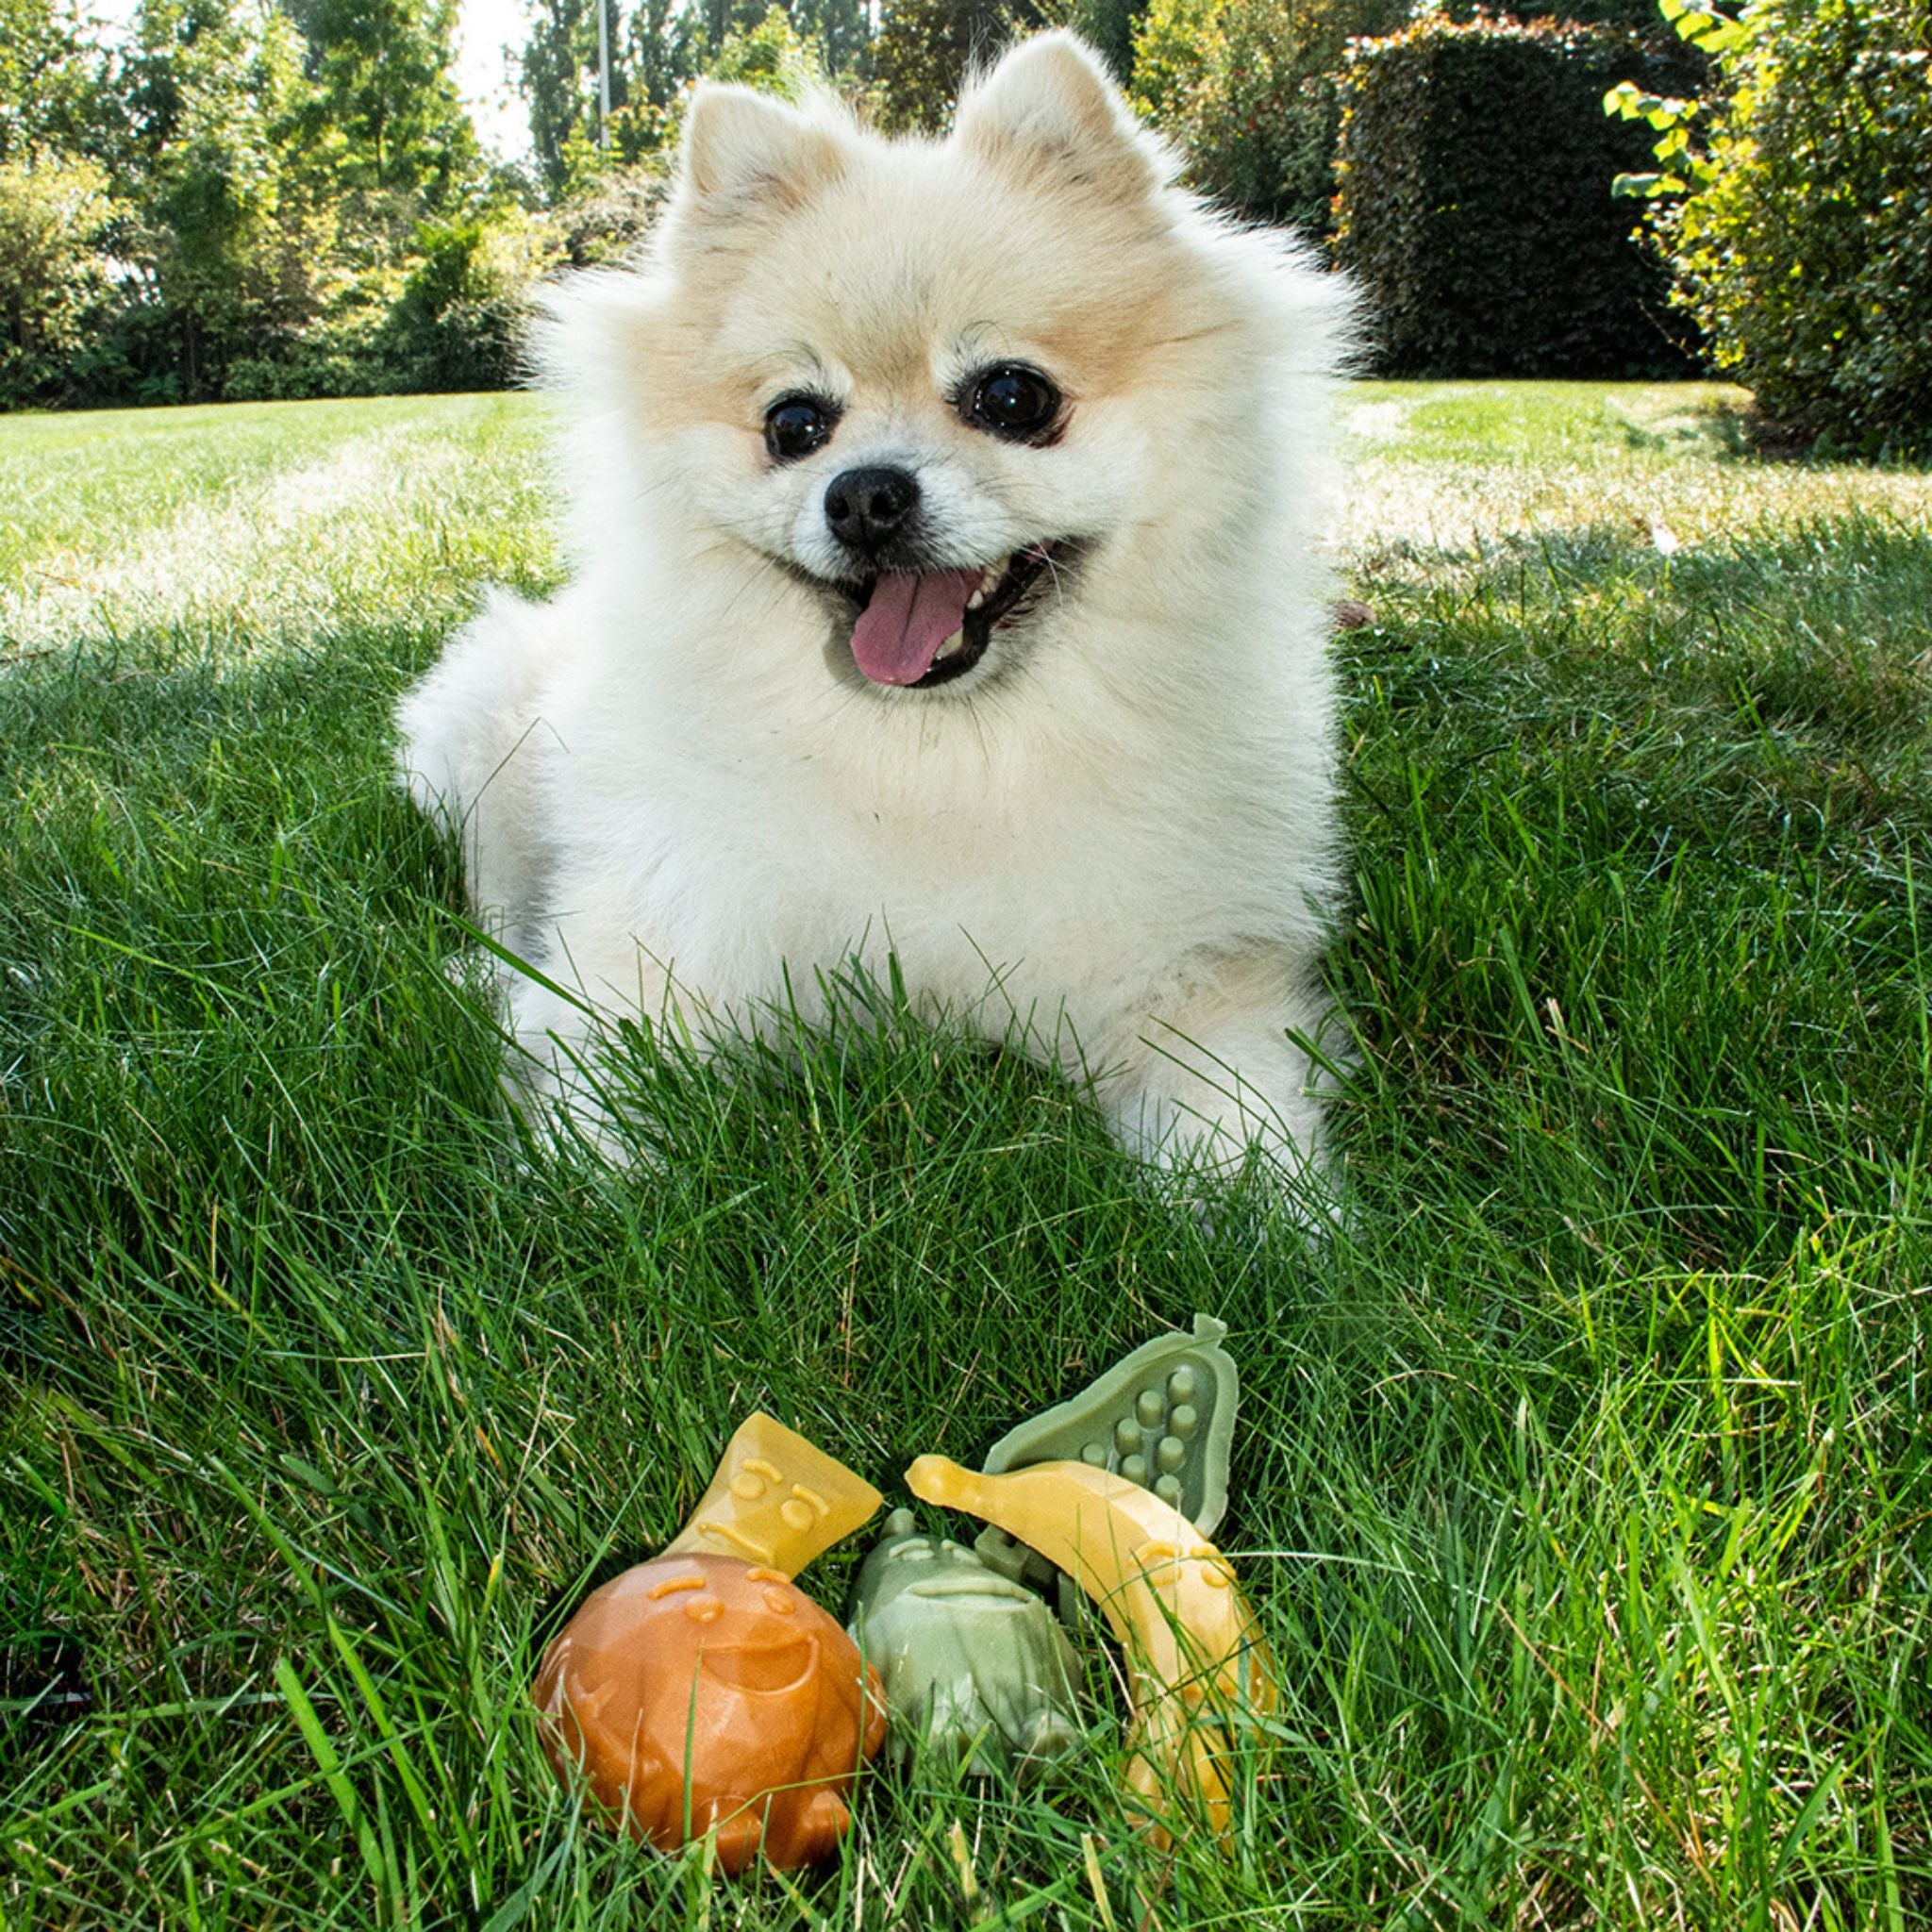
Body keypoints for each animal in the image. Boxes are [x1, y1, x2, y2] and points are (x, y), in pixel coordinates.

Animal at [399, 34, 1352, 1190]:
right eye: (795, 424)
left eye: (1011, 397)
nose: (862, 495)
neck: (930, 761)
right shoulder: (659, 937)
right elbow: (600, 1076)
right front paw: (582, 1195)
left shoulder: (1192, 972)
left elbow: (1237, 1125)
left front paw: (1277, 1221)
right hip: (486, 739)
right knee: (497, 889)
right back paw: (481, 970)